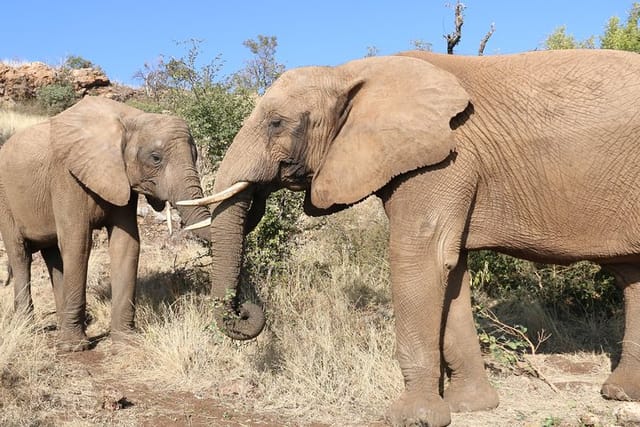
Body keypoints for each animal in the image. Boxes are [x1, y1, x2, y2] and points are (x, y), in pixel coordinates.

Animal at [0, 98, 210, 354]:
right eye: (155, 158)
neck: (130, 117)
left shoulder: (122, 181)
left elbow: (126, 244)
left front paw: (126, 342)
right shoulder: (67, 176)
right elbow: (78, 243)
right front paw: (74, 348)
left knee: (52, 256)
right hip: (5, 200)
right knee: (20, 254)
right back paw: (28, 328)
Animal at [179, 51, 640, 427]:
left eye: (277, 123)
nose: (247, 311)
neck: (350, 71)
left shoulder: (445, 157)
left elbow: (421, 259)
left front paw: (413, 418)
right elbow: (452, 270)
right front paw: (470, 407)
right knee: (632, 277)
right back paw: (619, 394)